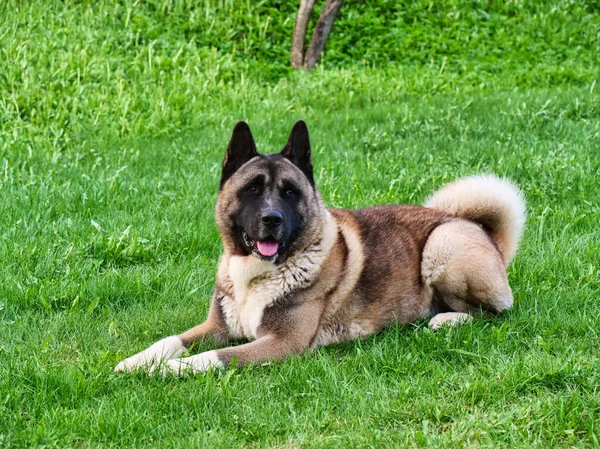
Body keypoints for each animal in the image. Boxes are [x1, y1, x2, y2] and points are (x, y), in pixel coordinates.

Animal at [115, 120, 528, 374]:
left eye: (290, 192)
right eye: (252, 189)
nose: (271, 219)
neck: (257, 275)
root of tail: (486, 234)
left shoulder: (280, 343)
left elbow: (212, 358)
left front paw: (169, 370)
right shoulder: (215, 326)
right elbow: (170, 340)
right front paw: (136, 361)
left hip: (442, 244)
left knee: (493, 312)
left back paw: (445, 319)